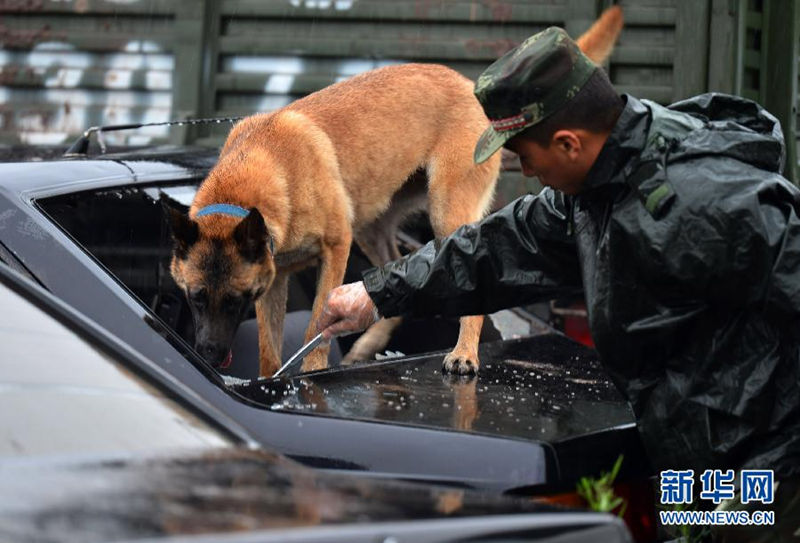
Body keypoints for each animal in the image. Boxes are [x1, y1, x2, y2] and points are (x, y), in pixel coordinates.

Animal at [164, 8, 624, 376]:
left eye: (233, 301)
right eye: (196, 298)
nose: (208, 354)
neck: (263, 171)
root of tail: (468, 86)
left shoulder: (336, 248)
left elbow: (316, 325)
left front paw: (311, 375)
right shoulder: (273, 280)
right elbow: (268, 348)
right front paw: (267, 379)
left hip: (445, 213)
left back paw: (464, 354)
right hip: (372, 225)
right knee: (392, 284)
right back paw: (366, 347)